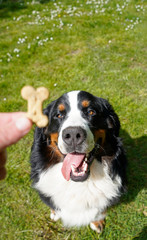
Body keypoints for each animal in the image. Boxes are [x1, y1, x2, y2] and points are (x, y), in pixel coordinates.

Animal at [30, 90, 127, 232]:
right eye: (58, 115)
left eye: (91, 112)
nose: (73, 134)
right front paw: (55, 213)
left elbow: (100, 210)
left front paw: (97, 223)